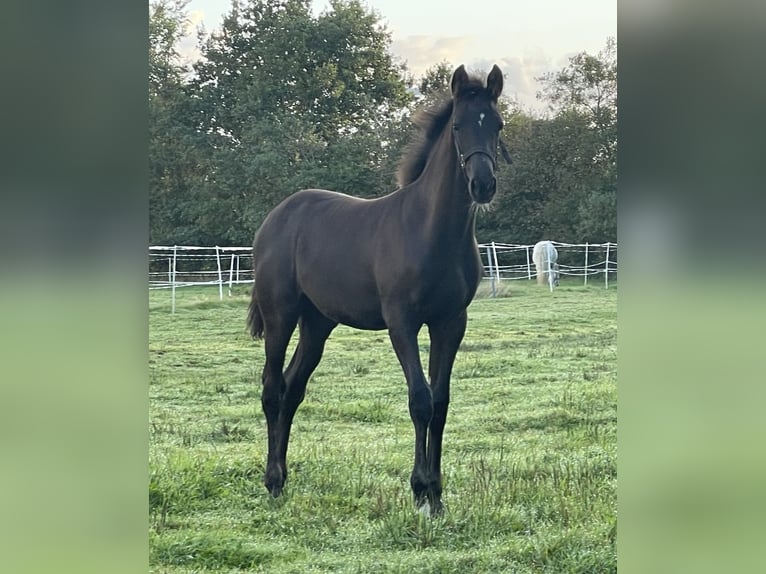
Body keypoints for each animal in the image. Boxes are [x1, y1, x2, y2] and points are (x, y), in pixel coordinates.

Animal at [247, 64, 510, 515]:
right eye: (458, 126)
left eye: (497, 125)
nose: (483, 186)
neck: (431, 230)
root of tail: (276, 217)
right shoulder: (401, 322)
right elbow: (420, 399)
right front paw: (420, 491)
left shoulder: (450, 323)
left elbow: (440, 402)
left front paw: (437, 495)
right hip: (280, 316)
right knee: (272, 389)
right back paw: (273, 481)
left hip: (317, 324)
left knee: (293, 388)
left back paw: (283, 478)